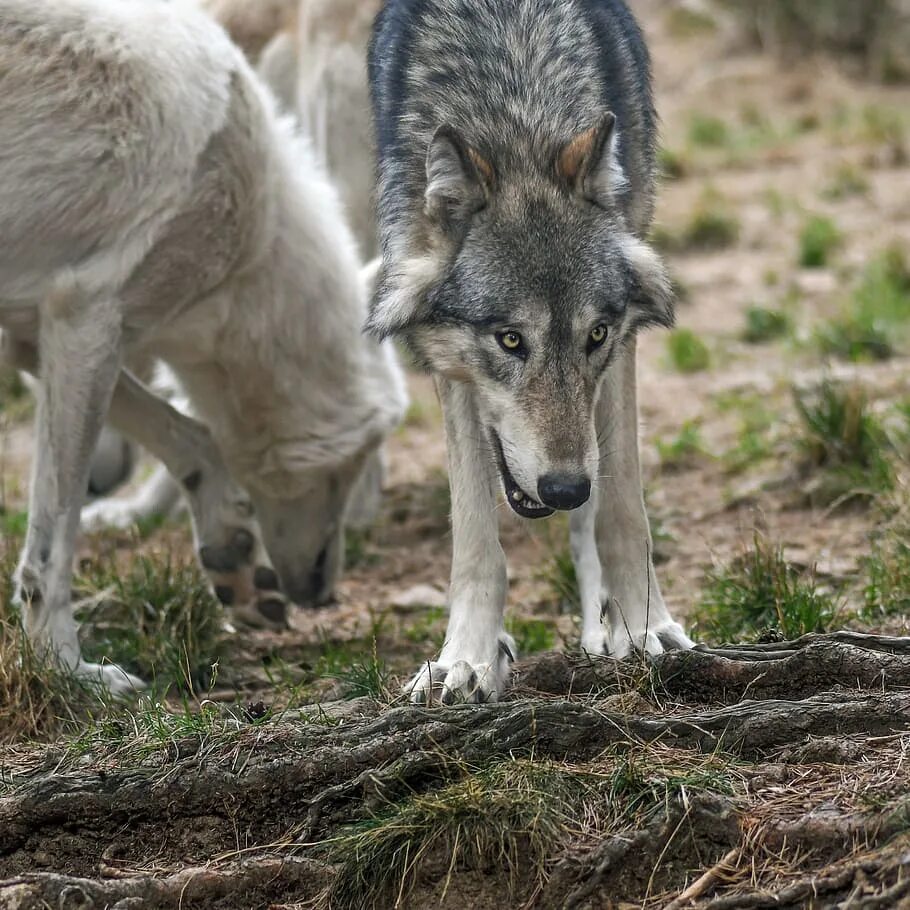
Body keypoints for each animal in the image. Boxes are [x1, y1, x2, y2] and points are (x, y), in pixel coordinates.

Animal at [0, 0, 406, 692]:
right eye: (355, 459)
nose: (323, 593)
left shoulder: (40, 335)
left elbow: (192, 436)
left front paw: (234, 560)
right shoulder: (87, 322)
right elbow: (51, 549)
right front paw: (68, 671)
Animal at [366, 0, 696, 704]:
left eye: (594, 335)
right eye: (510, 339)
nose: (564, 487)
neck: (514, 109)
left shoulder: (623, 344)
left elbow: (621, 510)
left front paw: (643, 625)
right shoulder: (451, 367)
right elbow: (475, 539)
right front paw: (466, 658)